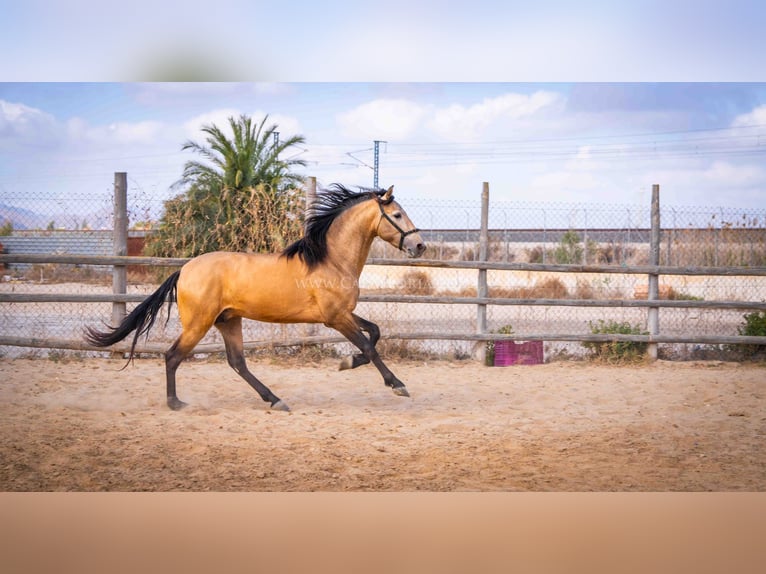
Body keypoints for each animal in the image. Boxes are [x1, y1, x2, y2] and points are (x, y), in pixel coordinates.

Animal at [88, 182, 432, 412]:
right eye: (397, 215)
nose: (419, 246)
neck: (331, 260)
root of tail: (184, 270)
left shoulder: (340, 314)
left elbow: (374, 332)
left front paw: (346, 363)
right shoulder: (336, 318)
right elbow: (369, 346)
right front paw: (397, 385)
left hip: (228, 320)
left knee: (237, 362)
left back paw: (275, 400)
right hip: (199, 323)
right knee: (173, 356)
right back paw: (176, 403)